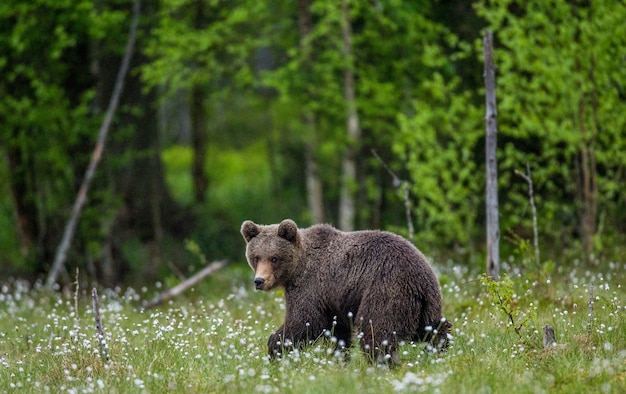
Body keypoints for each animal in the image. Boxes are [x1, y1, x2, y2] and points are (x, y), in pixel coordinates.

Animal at [239, 219, 448, 364]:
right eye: (256, 257)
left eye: (274, 258)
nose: (259, 281)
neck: (297, 268)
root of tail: (422, 276)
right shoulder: (334, 300)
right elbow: (338, 332)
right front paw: (339, 359)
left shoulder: (310, 285)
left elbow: (304, 321)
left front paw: (275, 348)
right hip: (424, 305)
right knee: (433, 327)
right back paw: (439, 350)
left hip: (386, 289)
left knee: (377, 331)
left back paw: (381, 364)